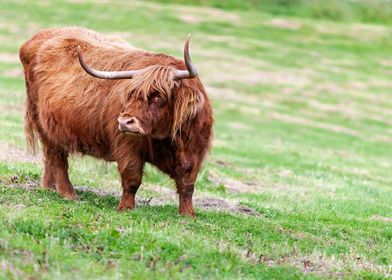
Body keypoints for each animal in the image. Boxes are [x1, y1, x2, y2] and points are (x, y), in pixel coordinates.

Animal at [19, 26, 213, 217]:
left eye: (158, 96)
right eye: (130, 94)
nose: (125, 122)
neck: (168, 139)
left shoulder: (195, 152)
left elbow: (187, 184)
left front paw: (188, 214)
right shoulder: (127, 147)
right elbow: (132, 178)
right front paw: (126, 208)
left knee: (50, 158)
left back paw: (48, 187)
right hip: (44, 124)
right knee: (57, 158)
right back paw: (69, 194)